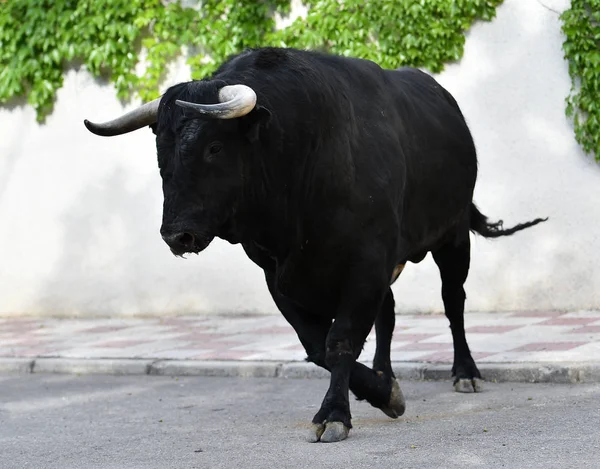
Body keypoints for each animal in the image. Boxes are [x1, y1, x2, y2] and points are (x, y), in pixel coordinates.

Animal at [85, 47, 548, 442]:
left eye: (214, 147)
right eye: (160, 152)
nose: (175, 234)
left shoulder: (365, 262)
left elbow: (340, 340)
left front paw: (335, 414)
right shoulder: (279, 274)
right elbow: (316, 346)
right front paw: (381, 392)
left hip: (451, 236)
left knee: (453, 301)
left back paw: (465, 371)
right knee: (388, 315)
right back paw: (385, 374)